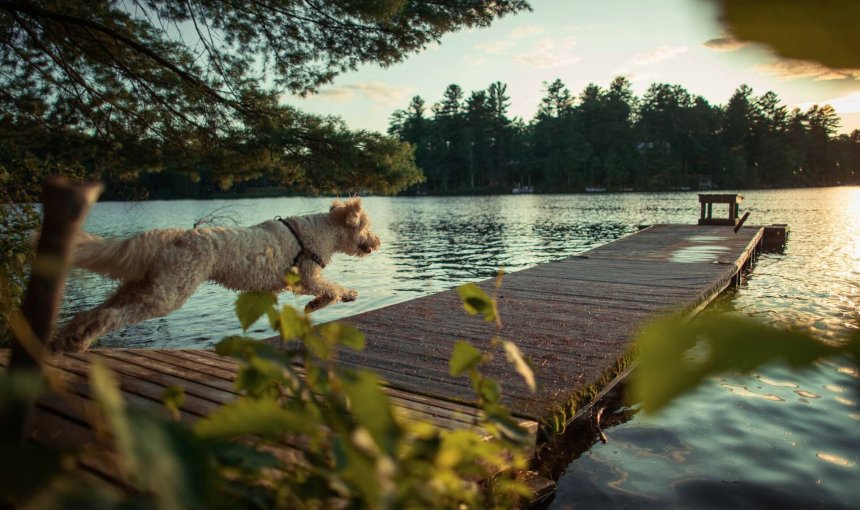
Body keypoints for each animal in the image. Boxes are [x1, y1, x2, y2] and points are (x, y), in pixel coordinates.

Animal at [50, 197, 380, 352]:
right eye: (366, 226)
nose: (377, 242)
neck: (321, 231)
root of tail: (174, 237)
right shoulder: (308, 277)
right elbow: (331, 288)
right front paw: (337, 297)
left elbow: (328, 291)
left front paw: (325, 302)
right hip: (166, 294)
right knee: (110, 316)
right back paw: (79, 341)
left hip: (141, 286)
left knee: (92, 312)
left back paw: (68, 338)